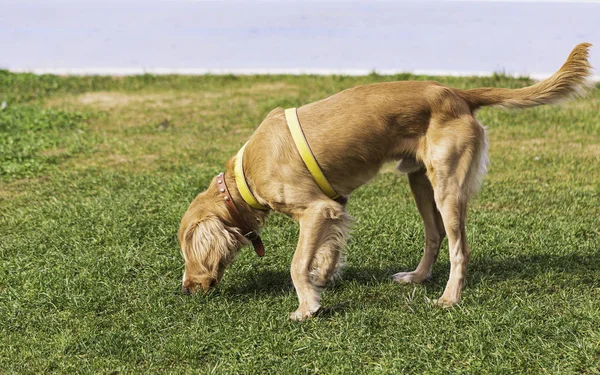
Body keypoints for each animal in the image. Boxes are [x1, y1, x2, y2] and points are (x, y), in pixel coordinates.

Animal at [177, 43, 592, 320]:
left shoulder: (315, 209)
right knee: (434, 236)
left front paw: (306, 306)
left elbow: (296, 264)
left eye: (185, 253)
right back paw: (418, 277)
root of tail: (456, 92)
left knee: (459, 248)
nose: (185, 289)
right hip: (421, 182)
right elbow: (327, 250)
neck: (243, 177)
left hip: (447, 186)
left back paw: (449, 298)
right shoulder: (335, 207)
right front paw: (322, 278)